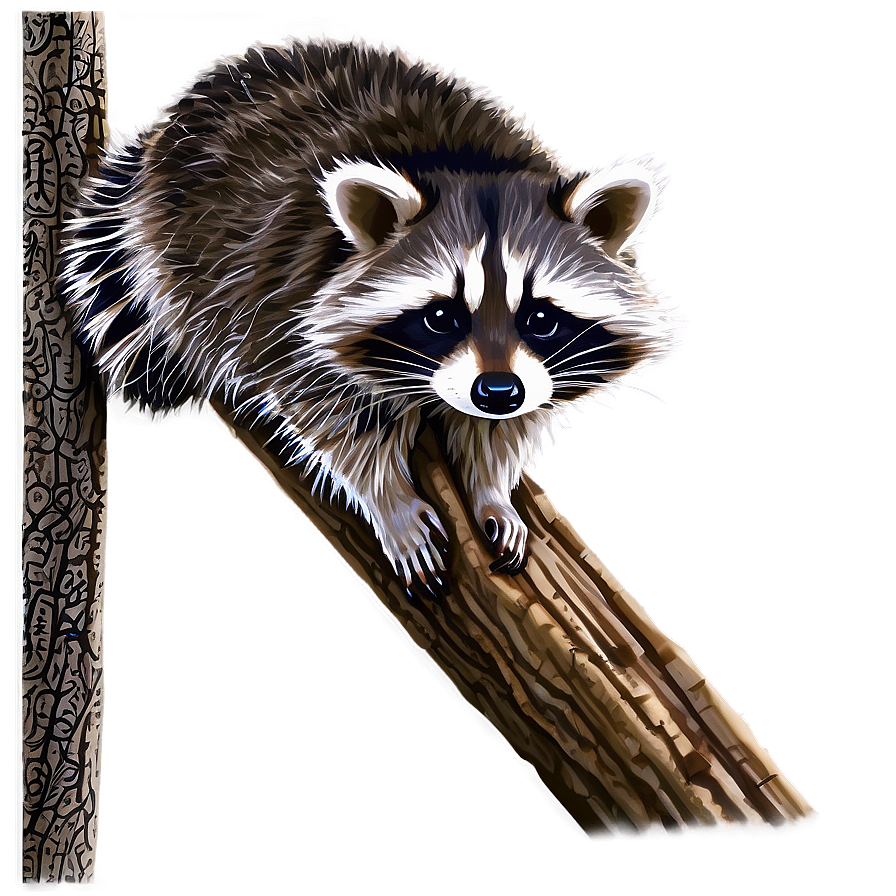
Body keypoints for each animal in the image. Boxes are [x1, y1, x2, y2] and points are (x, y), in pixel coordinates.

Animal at [59, 37, 673, 600]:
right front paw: (391, 501)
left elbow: (497, 432)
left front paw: (491, 488)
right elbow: (330, 416)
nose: (497, 391)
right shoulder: (284, 291)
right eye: (442, 316)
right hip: (181, 234)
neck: (472, 165)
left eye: (541, 318)